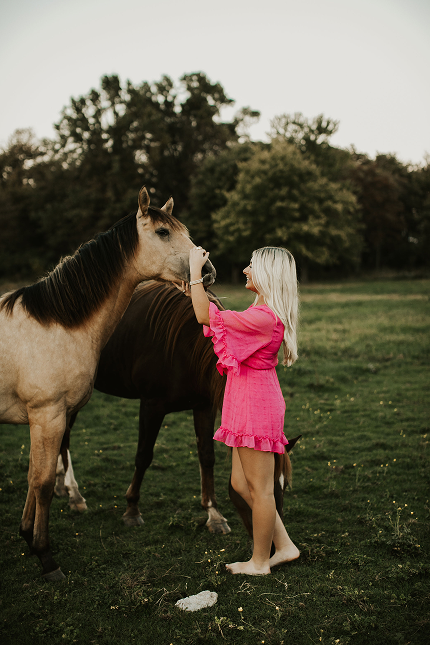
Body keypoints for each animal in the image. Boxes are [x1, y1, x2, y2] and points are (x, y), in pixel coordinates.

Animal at [0, 187, 216, 581]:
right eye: (163, 232)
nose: (207, 271)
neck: (58, 323)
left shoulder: (45, 418)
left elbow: (33, 476)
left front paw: (27, 536)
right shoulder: (48, 415)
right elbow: (41, 481)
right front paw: (45, 556)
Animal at [55, 281, 300, 544]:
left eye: (284, 485)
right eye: (257, 487)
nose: (274, 540)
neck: (183, 347)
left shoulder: (203, 406)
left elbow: (206, 456)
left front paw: (214, 514)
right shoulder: (151, 406)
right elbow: (143, 456)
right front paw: (132, 509)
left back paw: (60, 485)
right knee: (64, 437)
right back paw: (74, 494)